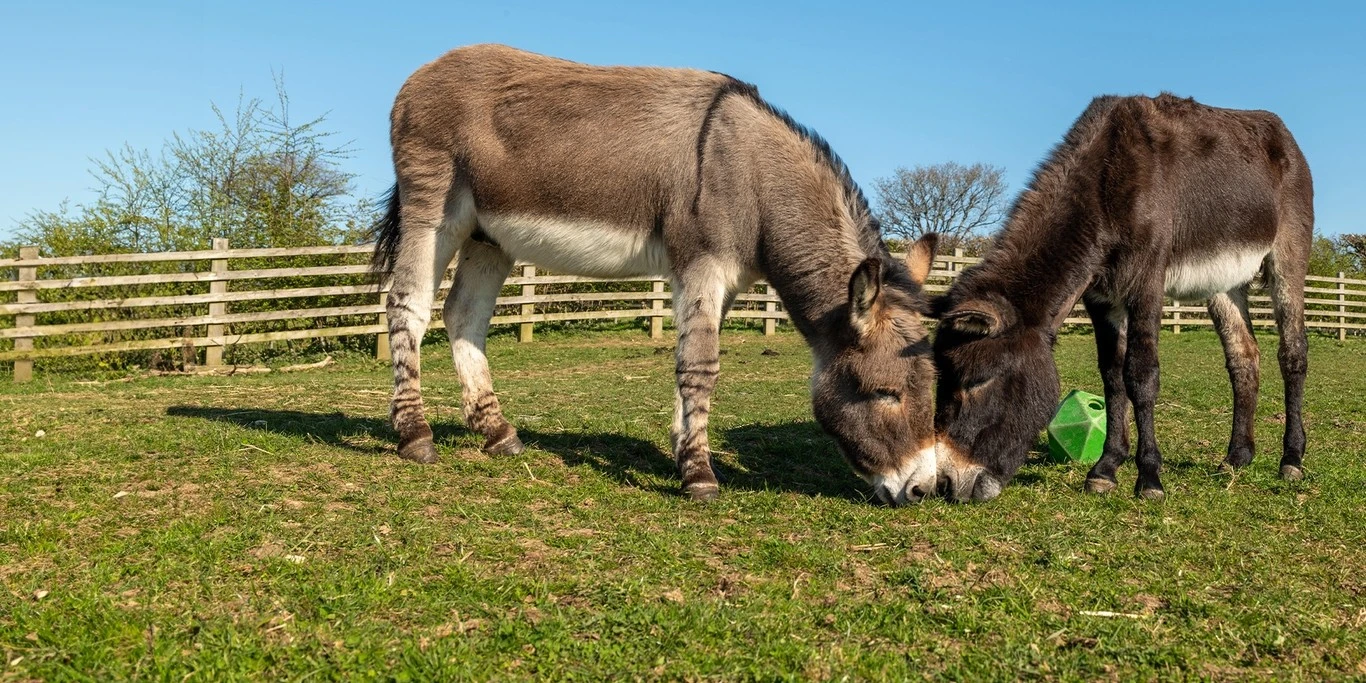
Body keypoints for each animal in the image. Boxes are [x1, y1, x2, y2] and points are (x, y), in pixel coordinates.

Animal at [369, 44, 941, 504]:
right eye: (885, 393)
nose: (924, 489)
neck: (753, 179)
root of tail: (426, 70)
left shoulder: (723, 281)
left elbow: (690, 360)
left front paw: (682, 450)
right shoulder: (701, 264)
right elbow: (701, 366)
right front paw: (700, 476)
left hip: (489, 237)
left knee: (464, 314)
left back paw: (497, 433)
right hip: (435, 210)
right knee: (407, 306)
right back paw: (415, 436)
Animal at [927, 93, 1312, 501]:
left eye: (976, 382)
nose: (947, 484)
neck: (1102, 186)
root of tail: (1281, 133)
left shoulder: (1146, 283)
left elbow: (1140, 375)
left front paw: (1149, 478)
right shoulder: (1100, 297)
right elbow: (1112, 376)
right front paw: (1106, 468)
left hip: (1289, 253)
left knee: (1292, 353)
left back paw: (1291, 460)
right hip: (1224, 281)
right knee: (1243, 355)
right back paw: (1237, 457)